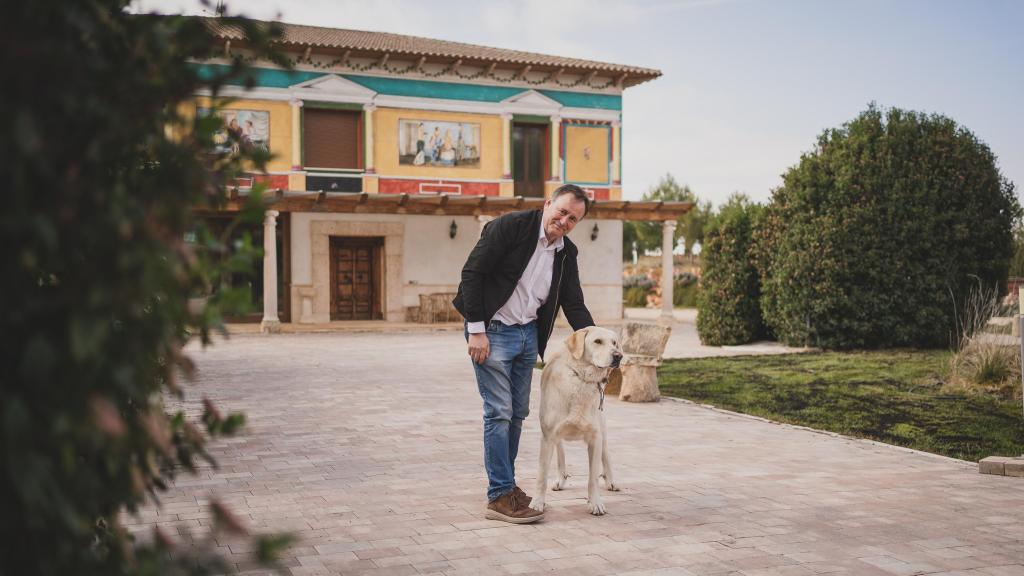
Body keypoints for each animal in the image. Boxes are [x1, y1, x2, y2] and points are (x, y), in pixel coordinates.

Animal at [536, 325, 622, 512]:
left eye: (614, 343)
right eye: (598, 341)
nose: (619, 356)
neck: (581, 379)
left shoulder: (595, 439)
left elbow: (593, 478)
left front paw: (595, 503)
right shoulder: (547, 437)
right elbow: (542, 475)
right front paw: (537, 503)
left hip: (602, 431)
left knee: (607, 455)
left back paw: (611, 481)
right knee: (560, 453)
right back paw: (561, 479)